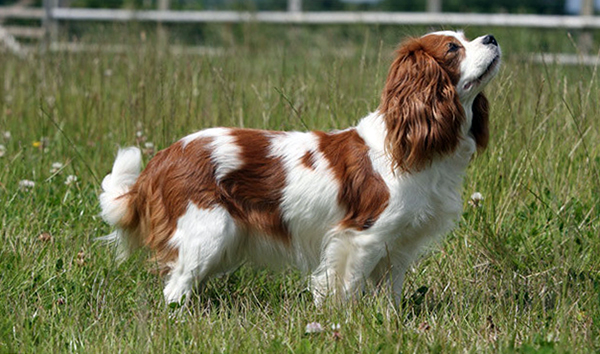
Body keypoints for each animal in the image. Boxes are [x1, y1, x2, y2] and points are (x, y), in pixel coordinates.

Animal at [99, 30, 502, 306]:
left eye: (467, 37)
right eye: (453, 47)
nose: (491, 36)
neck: (408, 147)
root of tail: (163, 157)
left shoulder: (398, 246)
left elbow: (389, 295)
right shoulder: (361, 237)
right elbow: (344, 287)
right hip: (209, 233)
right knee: (175, 288)